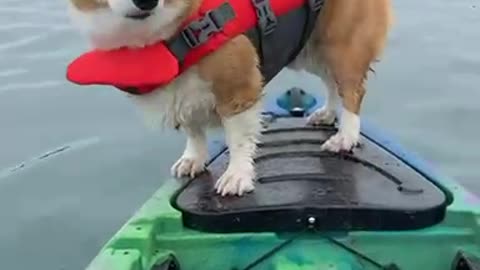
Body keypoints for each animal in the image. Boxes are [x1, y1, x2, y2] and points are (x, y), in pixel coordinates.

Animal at [67, 0, 394, 196]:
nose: (146, 2)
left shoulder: (238, 88)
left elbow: (238, 139)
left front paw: (237, 177)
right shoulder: (180, 95)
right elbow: (192, 130)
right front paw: (193, 159)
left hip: (341, 42)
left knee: (352, 90)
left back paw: (345, 136)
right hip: (311, 47)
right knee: (330, 83)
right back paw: (327, 114)